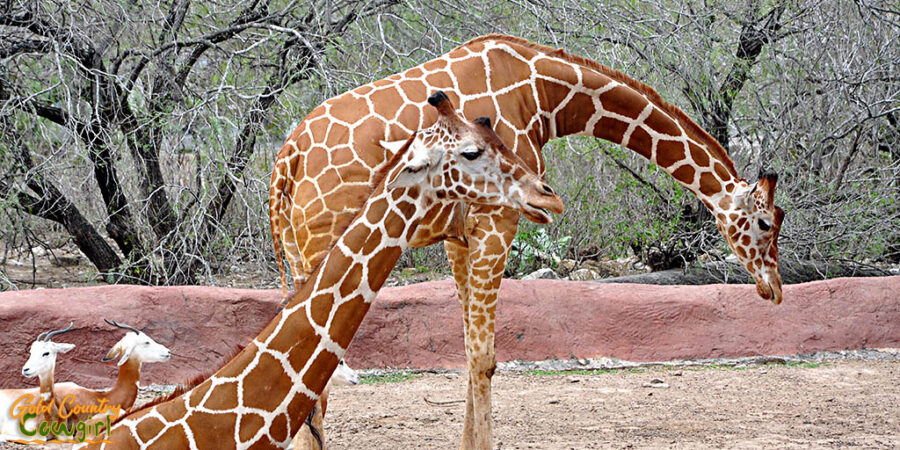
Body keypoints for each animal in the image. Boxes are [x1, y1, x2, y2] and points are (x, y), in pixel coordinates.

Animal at [268, 33, 788, 448]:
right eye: (766, 223)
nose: (775, 288)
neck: (547, 97)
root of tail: (286, 161)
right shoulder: (500, 219)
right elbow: (485, 358)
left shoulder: (460, 235)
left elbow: (469, 352)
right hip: (327, 246)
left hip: (298, 255)